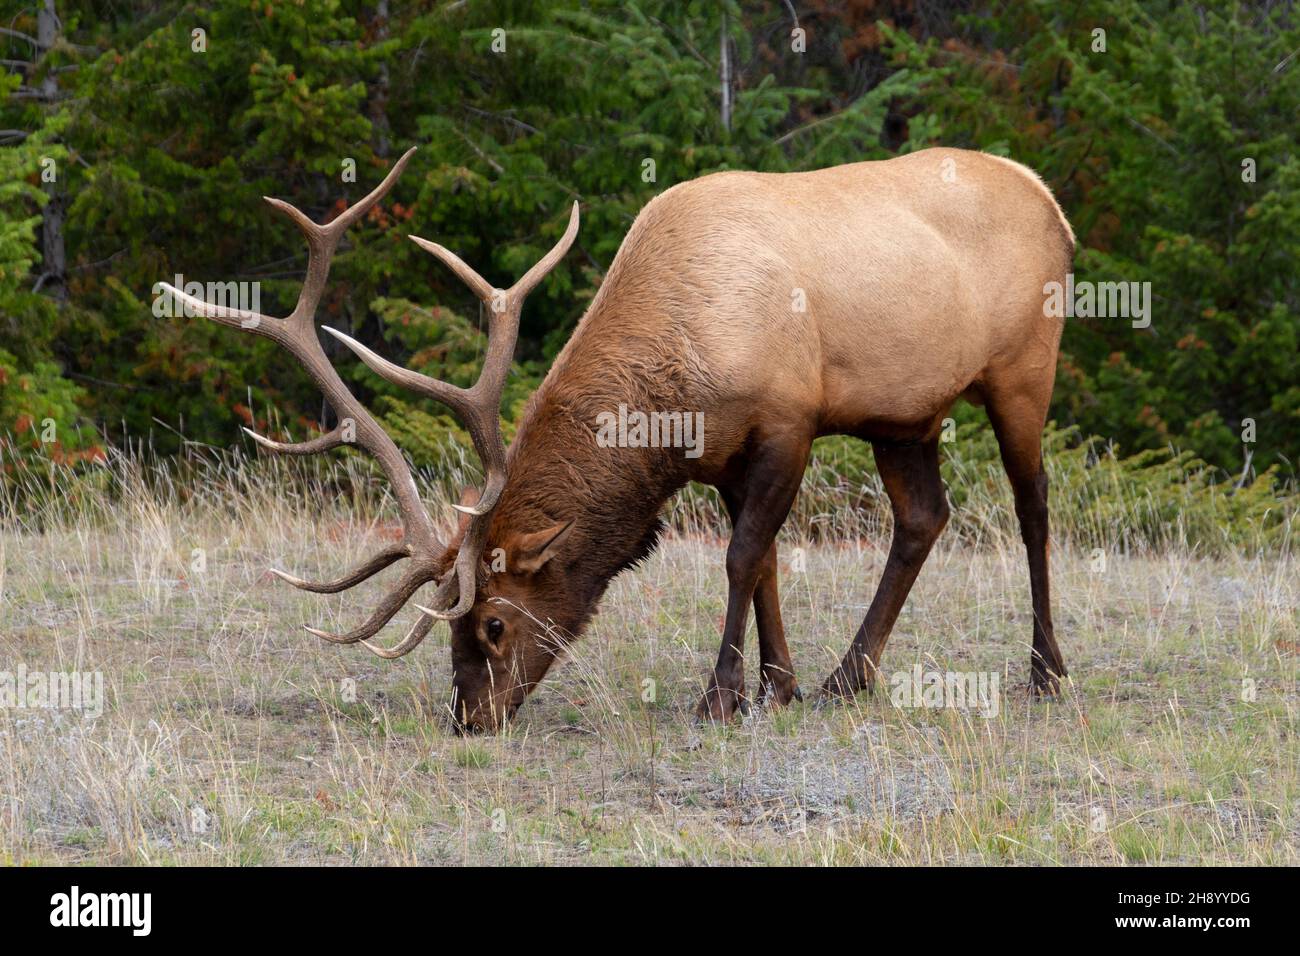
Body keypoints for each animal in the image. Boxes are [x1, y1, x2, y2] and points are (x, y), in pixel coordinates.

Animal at [163, 144, 1073, 733]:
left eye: (492, 626)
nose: (468, 719)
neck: (677, 382)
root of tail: (1052, 203)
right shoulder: (722, 455)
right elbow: (767, 563)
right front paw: (779, 687)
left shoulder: (787, 420)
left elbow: (741, 558)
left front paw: (721, 696)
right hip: (905, 413)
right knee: (923, 516)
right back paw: (850, 677)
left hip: (1025, 364)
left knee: (1033, 506)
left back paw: (1047, 671)